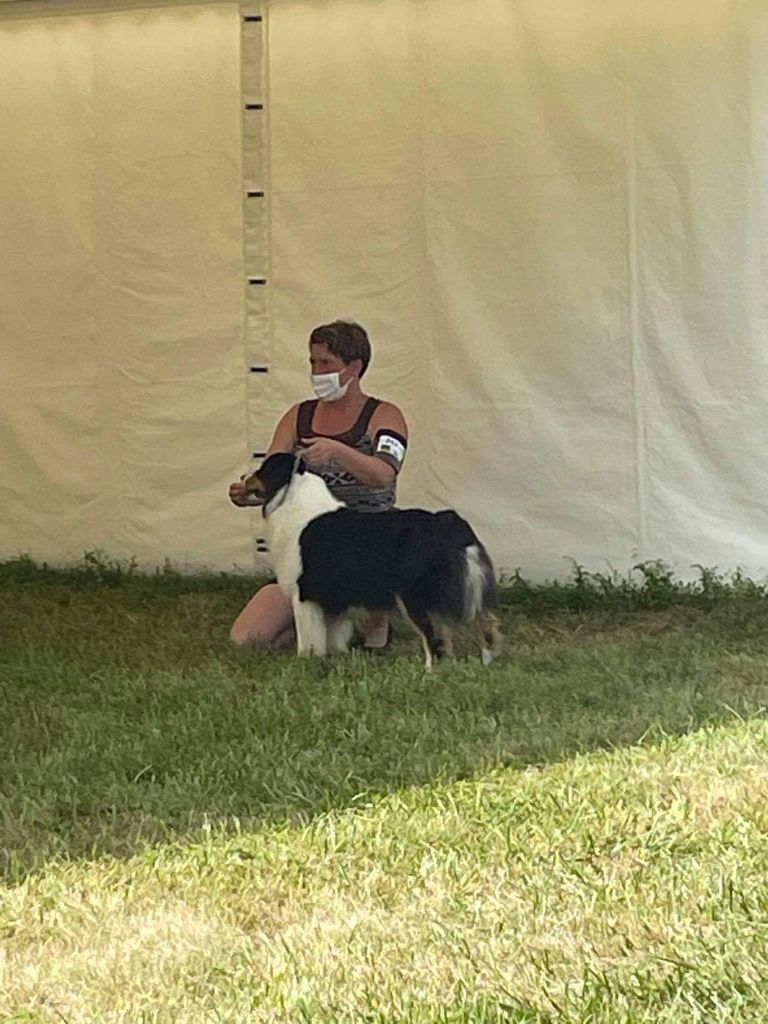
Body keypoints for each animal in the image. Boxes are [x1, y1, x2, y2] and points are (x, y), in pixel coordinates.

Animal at [243, 453, 502, 669]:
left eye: (263, 469)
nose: (242, 477)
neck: (293, 497)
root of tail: (451, 525)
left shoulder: (304, 593)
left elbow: (309, 637)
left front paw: (305, 660)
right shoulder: (335, 596)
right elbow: (334, 633)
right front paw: (337, 656)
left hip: (417, 595)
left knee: (436, 636)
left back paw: (429, 672)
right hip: (468, 590)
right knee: (485, 624)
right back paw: (486, 662)